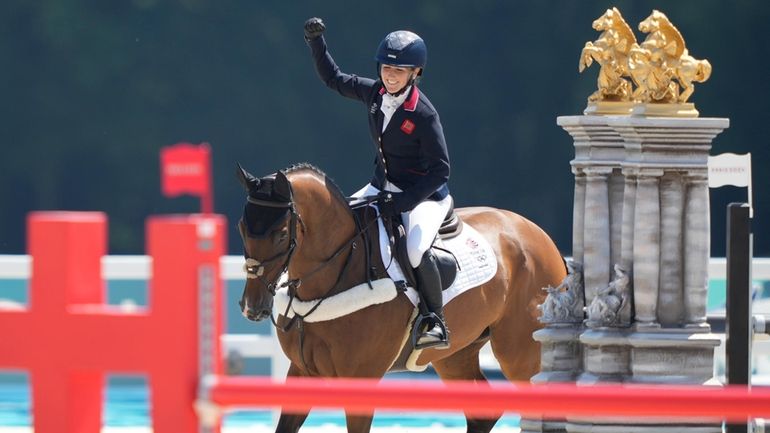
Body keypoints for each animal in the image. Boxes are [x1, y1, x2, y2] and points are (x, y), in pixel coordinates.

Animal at [237, 163, 568, 432]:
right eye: (242, 228)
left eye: (281, 234)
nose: (252, 307)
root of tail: (541, 236)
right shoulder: (302, 371)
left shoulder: (361, 378)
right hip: (456, 356)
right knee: (482, 413)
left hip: (520, 355)